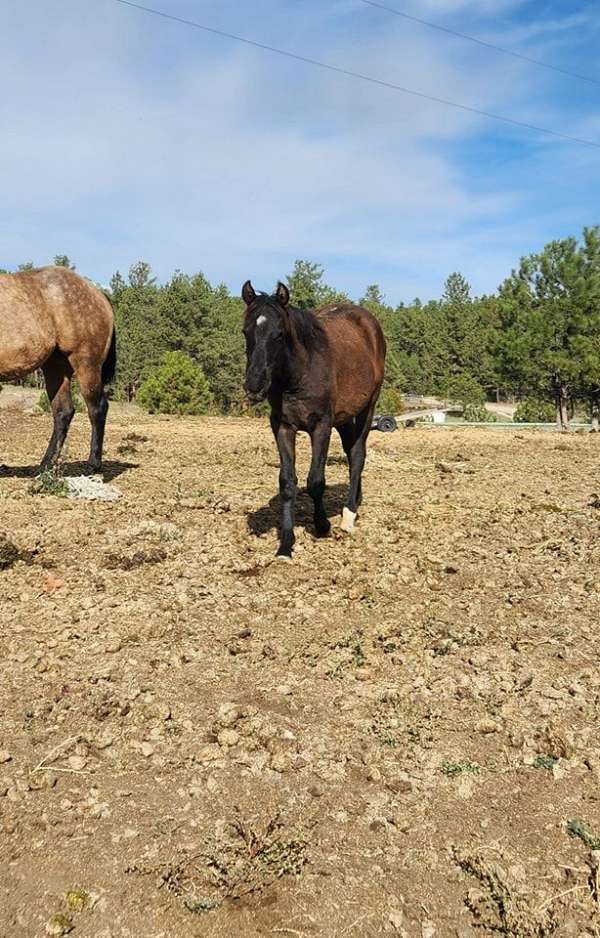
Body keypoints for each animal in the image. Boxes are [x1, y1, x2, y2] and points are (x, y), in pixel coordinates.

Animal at [0, 264, 116, 468]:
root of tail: (99, 295)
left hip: (87, 364)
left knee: (97, 408)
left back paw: (93, 463)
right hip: (56, 367)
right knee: (63, 412)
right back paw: (46, 464)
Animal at [243, 278, 386, 556]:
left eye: (279, 334)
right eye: (246, 331)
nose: (254, 384)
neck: (300, 372)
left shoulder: (321, 426)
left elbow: (315, 481)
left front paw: (322, 526)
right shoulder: (282, 427)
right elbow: (287, 483)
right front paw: (285, 544)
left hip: (368, 407)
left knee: (358, 453)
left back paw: (349, 515)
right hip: (344, 417)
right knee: (351, 451)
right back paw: (355, 498)